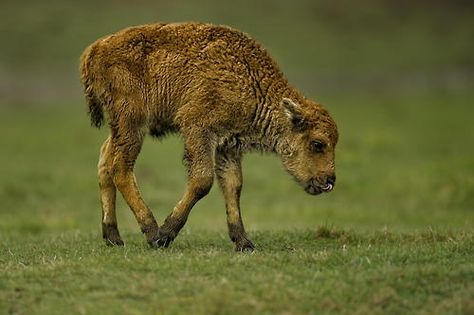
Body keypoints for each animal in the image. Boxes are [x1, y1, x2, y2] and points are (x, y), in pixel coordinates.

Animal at [79, 22, 336, 252]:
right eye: (317, 143)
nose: (329, 181)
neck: (251, 80)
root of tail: (94, 49)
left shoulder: (229, 146)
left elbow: (233, 186)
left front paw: (244, 243)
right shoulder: (198, 130)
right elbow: (202, 181)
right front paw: (165, 234)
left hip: (121, 127)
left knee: (105, 161)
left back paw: (113, 237)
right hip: (132, 123)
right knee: (120, 168)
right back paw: (151, 232)